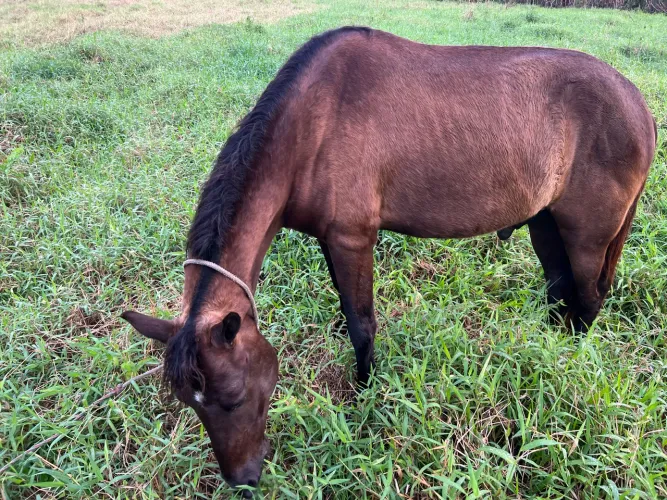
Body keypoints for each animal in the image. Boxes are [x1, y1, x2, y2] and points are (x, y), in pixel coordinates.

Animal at [120, 26, 657, 495]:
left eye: (233, 398)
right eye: (189, 403)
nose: (244, 480)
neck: (314, 122)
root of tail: (639, 106)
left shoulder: (353, 239)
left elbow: (361, 324)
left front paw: (365, 397)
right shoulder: (330, 240)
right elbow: (347, 312)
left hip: (587, 237)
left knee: (587, 301)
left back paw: (565, 366)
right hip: (546, 224)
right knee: (560, 293)